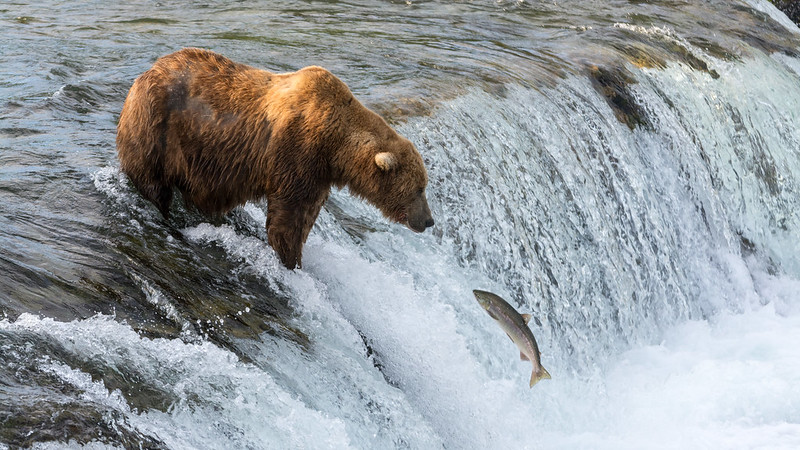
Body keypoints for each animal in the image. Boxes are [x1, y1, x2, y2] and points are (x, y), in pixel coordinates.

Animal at [115, 48, 434, 268]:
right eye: (419, 188)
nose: (429, 221)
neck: (335, 147)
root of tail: (145, 73)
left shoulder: (318, 175)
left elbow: (305, 216)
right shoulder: (297, 152)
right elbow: (287, 219)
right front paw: (289, 259)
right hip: (156, 126)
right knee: (152, 181)